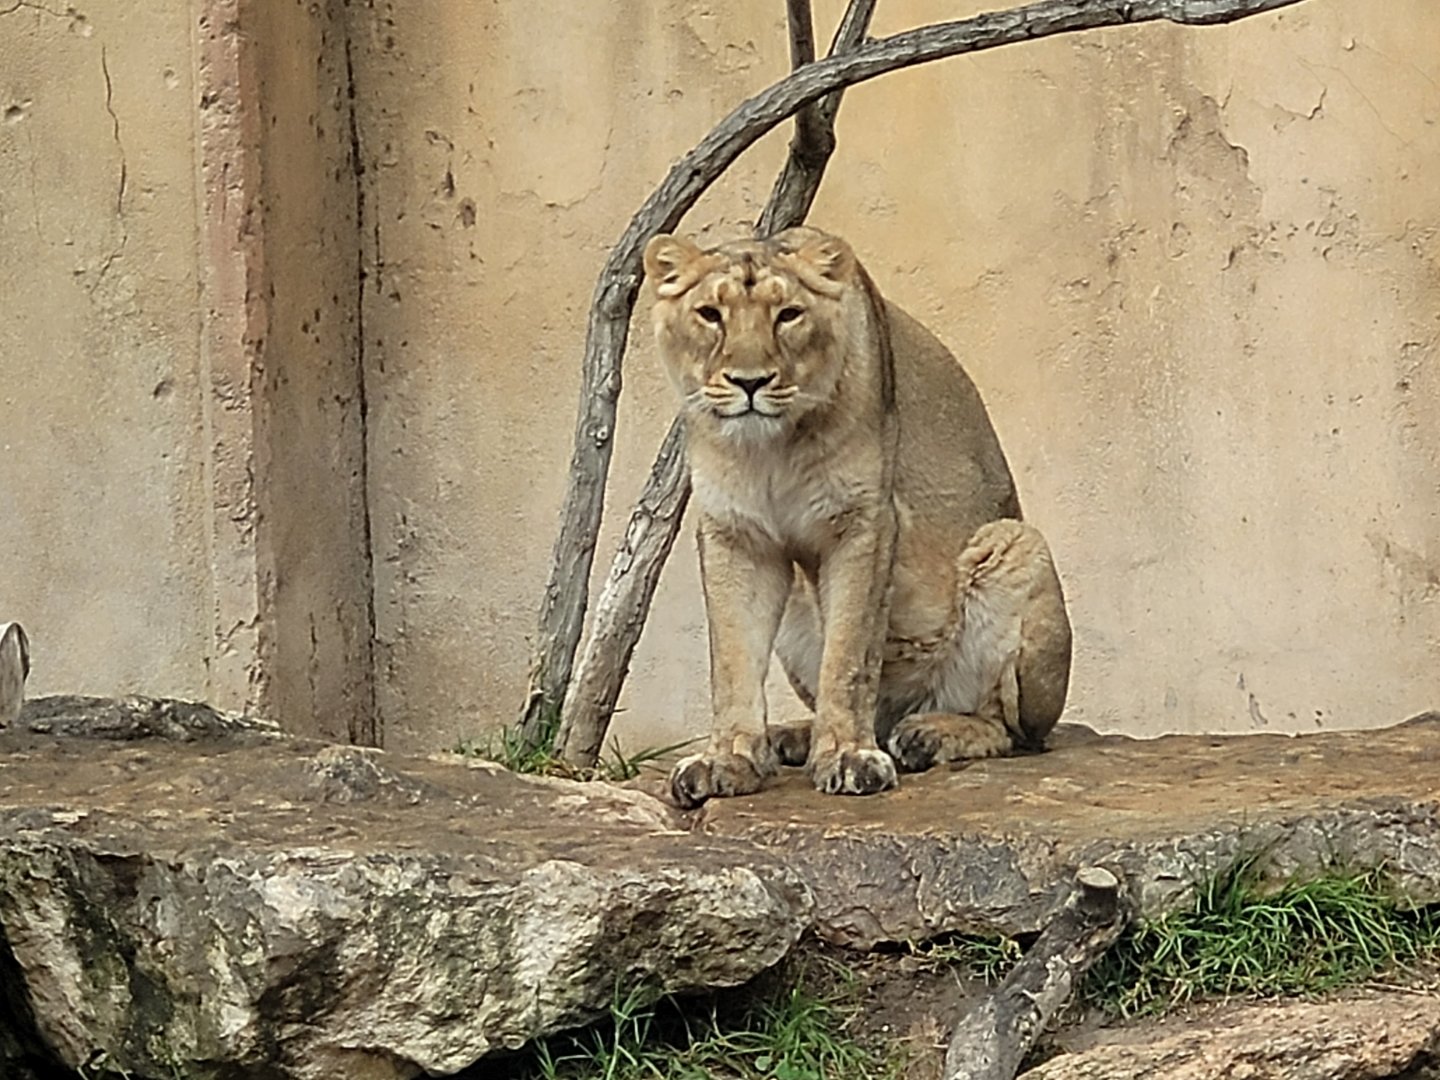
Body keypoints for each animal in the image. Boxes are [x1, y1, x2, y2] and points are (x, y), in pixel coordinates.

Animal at [642, 226, 1072, 808]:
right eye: (711, 314)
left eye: (788, 315)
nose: (750, 382)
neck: (770, 450)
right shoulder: (735, 534)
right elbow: (732, 658)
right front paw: (727, 758)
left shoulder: (864, 523)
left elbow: (848, 655)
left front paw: (848, 756)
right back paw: (792, 737)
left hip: (1016, 543)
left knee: (1011, 731)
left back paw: (927, 734)